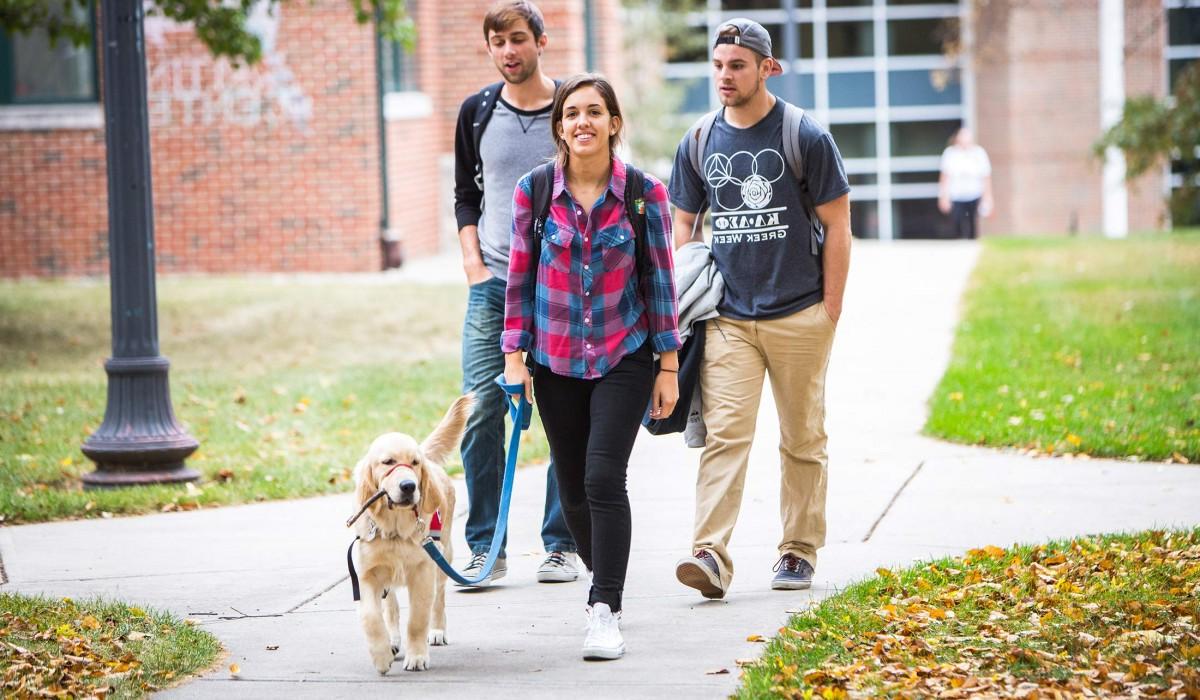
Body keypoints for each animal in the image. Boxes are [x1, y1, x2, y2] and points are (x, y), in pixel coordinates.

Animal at [350, 393, 470, 672]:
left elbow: (417, 619)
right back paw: (393, 641)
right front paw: (381, 655)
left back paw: (437, 631)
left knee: (439, 599)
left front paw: (417, 656)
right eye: (388, 462)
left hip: (443, 555)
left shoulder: (423, 571)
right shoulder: (368, 573)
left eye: (414, 463)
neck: (395, 530)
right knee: (391, 606)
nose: (408, 486)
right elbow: (371, 617)